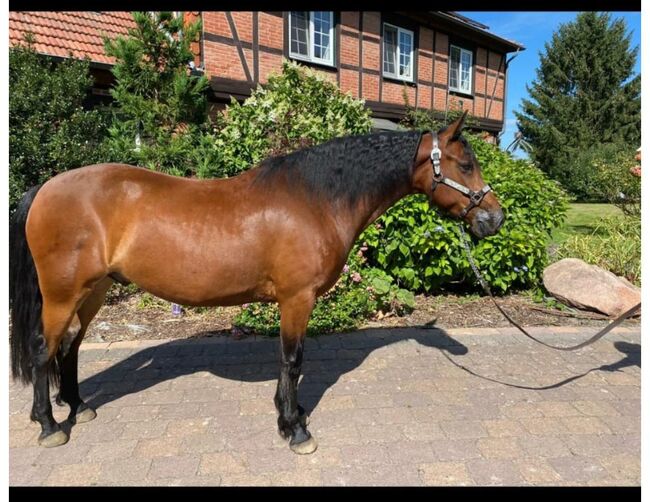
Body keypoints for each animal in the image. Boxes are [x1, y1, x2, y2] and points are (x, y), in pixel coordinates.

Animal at [10, 111, 504, 454]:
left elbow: (289, 363)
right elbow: (292, 360)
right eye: (465, 164)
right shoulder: (296, 299)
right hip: (63, 294)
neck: (316, 199)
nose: (495, 218)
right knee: (43, 349)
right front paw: (295, 428)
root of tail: (44, 189)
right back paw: (49, 425)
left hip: (94, 291)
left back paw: (78, 406)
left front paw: (292, 414)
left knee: (69, 346)